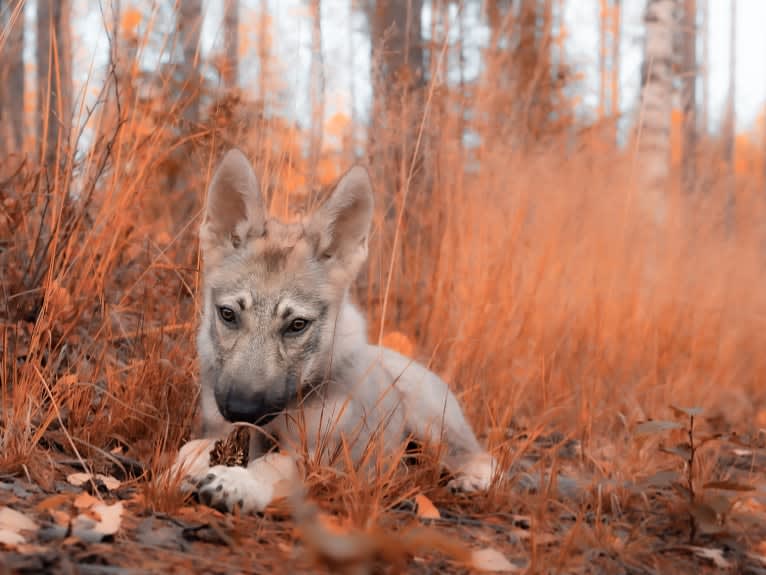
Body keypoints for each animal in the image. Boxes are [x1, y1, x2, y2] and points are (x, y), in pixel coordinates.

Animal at [173, 150, 498, 512]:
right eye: (228, 315)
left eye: (297, 325)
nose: (241, 411)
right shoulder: (219, 428)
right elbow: (191, 448)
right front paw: (184, 469)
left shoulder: (317, 455)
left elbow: (271, 465)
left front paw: (237, 482)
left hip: (431, 425)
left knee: (481, 456)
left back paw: (471, 480)